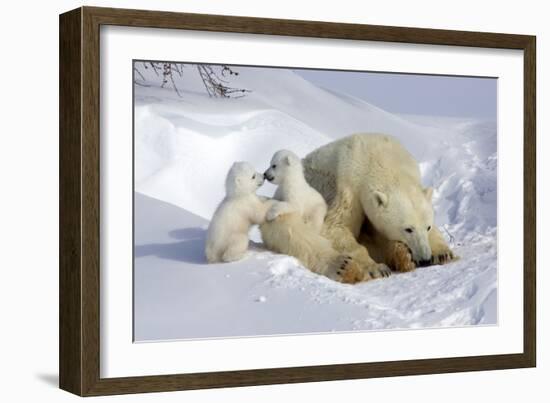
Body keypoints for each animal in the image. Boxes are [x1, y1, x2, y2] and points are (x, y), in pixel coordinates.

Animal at [260, 133, 460, 284]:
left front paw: (442, 253)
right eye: (408, 229)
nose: (425, 259)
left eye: (427, 227)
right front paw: (376, 268)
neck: (380, 157)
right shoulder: (349, 186)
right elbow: (335, 227)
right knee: (293, 230)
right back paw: (344, 266)